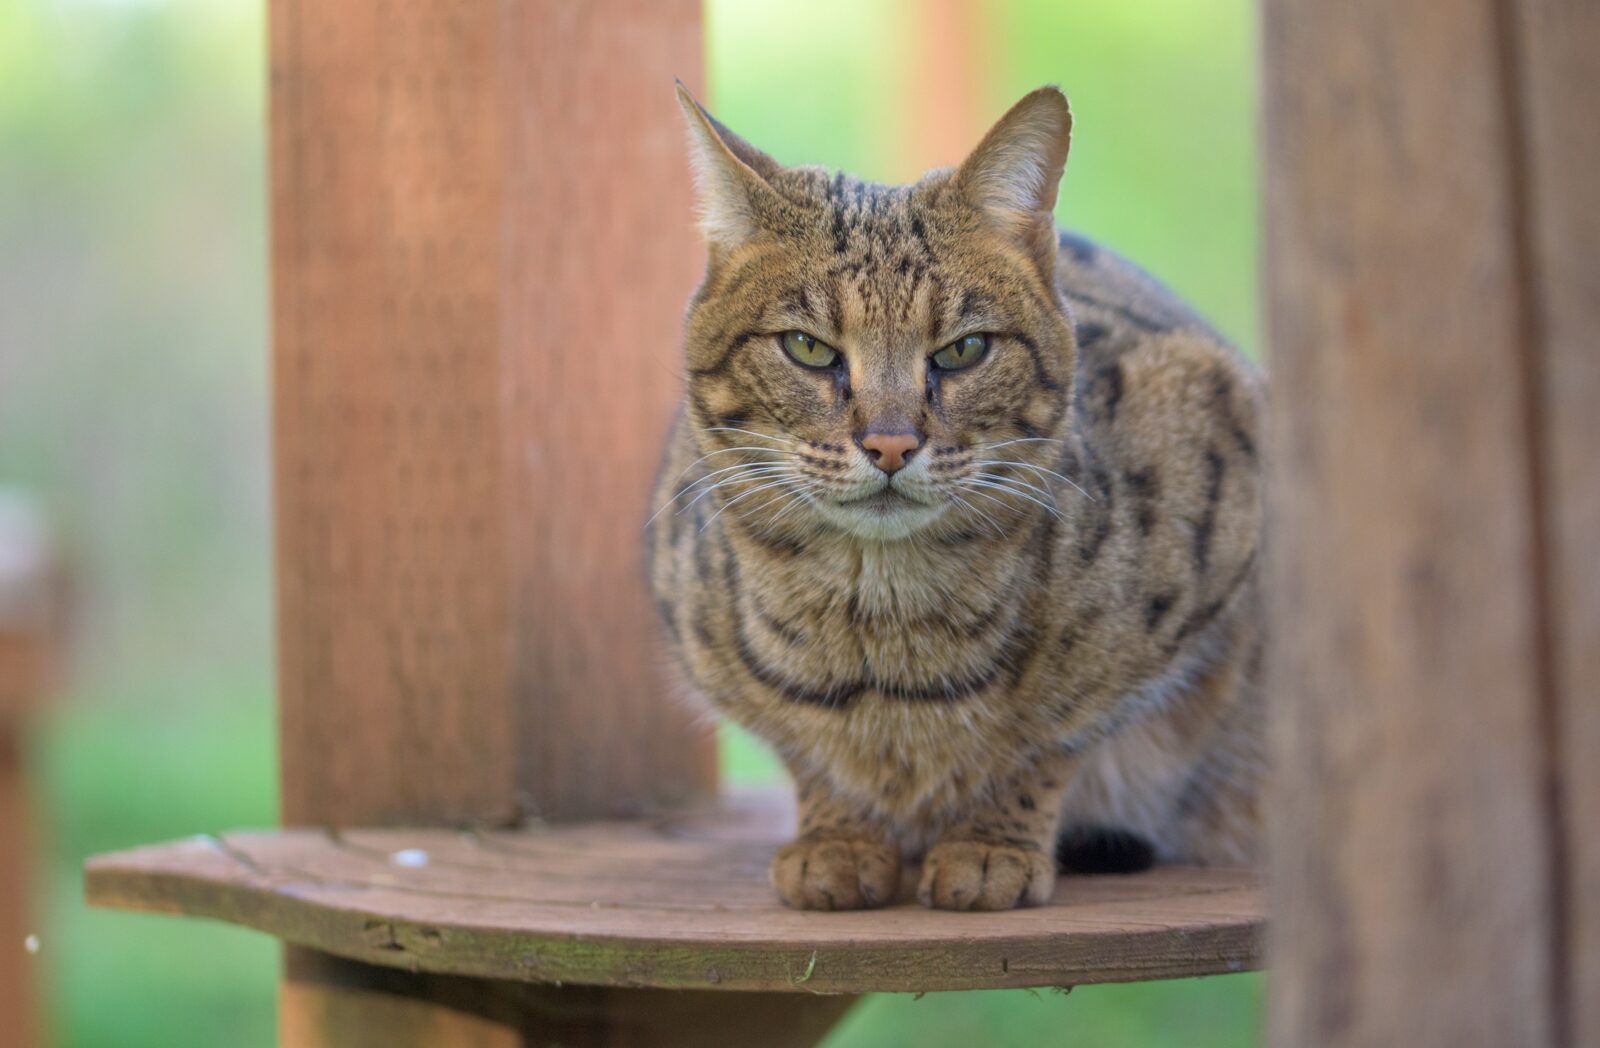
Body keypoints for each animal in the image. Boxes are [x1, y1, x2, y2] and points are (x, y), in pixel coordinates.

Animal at [649, 86, 1260, 915]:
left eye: (963, 350)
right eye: (808, 347)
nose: (890, 445)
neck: (880, 631)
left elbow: (1053, 736)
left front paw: (990, 842)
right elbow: (806, 750)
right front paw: (838, 837)